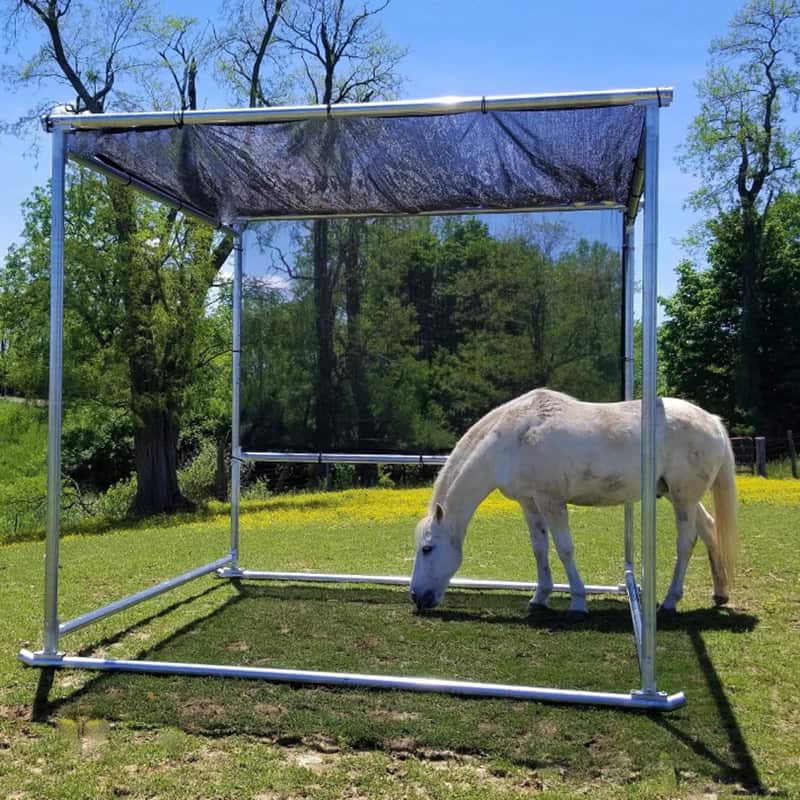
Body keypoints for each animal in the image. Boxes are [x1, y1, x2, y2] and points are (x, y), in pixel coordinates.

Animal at [409, 388, 737, 617]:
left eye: (427, 548)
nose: (416, 597)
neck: (512, 438)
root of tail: (713, 421)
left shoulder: (551, 500)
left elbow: (564, 548)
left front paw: (578, 602)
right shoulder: (529, 502)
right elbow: (539, 548)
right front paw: (539, 597)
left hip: (684, 497)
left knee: (687, 542)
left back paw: (670, 601)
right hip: (677, 495)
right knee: (708, 528)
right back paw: (719, 593)